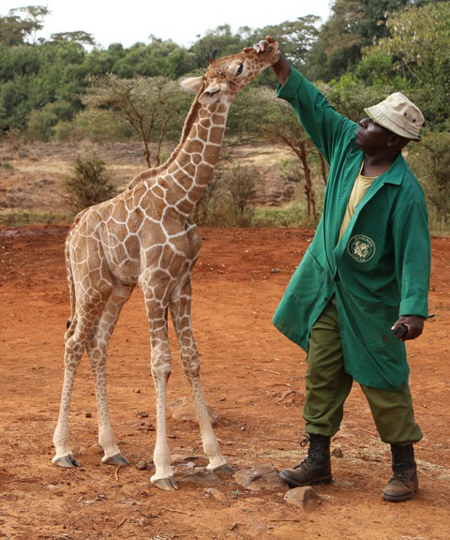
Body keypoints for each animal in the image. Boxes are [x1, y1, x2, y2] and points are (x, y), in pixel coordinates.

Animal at [51, 34, 278, 490]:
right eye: (239, 68)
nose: (265, 47)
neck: (183, 198)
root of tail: (71, 232)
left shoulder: (182, 282)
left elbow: (191, 358)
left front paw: (217, 457)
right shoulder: (155, 281)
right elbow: (161, 363)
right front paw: (163, 468)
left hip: (116, 287)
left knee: (97, 344)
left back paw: (111, 449)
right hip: (89, 283)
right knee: (73, 341)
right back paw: (63, 450)